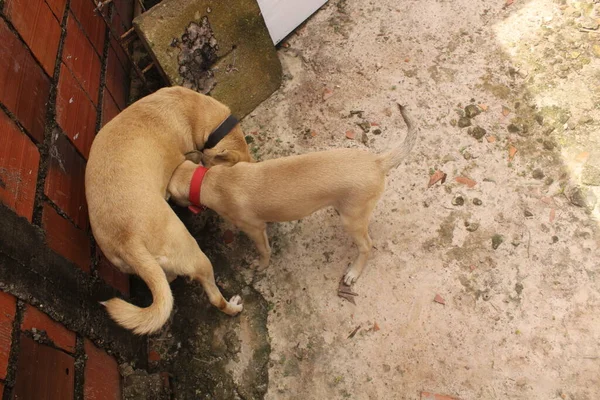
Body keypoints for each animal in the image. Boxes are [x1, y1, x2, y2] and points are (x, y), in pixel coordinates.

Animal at [85, 86, 252, 334]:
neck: (196, 112)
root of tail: (128, 241)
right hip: (195, 254)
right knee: (214, 297)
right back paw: (232, 307)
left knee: (169, 280)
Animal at [166, 103, 414, 284]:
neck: (210, 181)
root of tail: (377, 162)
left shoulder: (254, 230)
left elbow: (264, 251)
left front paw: (261, 265)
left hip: (351, 221)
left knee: (366, 246)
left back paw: (354, 271)